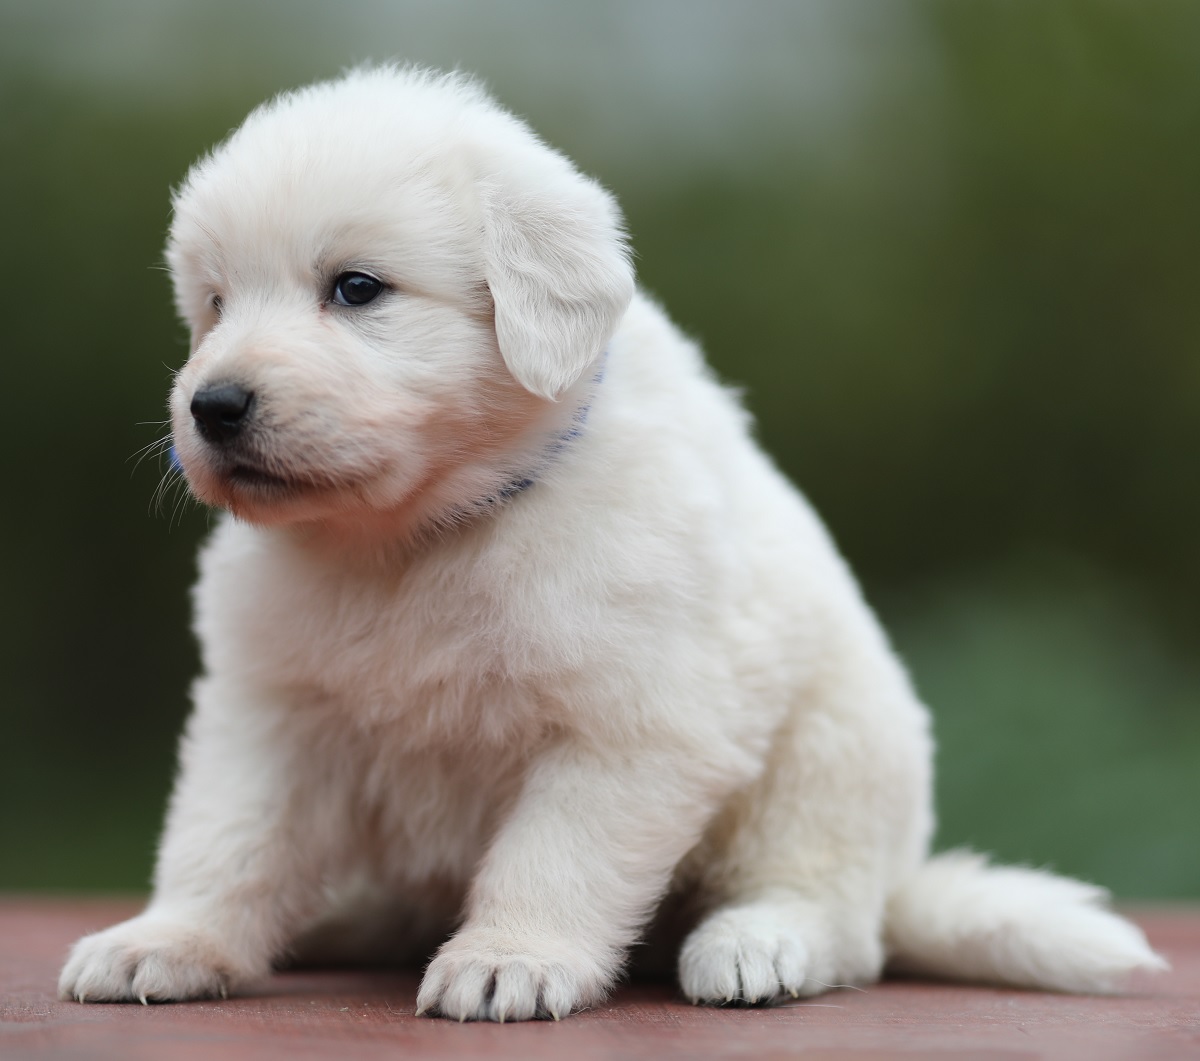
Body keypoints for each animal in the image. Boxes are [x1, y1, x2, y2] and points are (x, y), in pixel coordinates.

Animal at [58, 66, 1161, 1017]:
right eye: (213, 304)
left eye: (357, 288)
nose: (213, 406)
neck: (419, 535)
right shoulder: (268, 707)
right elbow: (227, 835)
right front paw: (165, 939)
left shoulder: (630, 719)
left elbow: (556, 853)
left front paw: (508, 958)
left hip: (832, 754)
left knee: (838, 916)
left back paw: (756, 944)